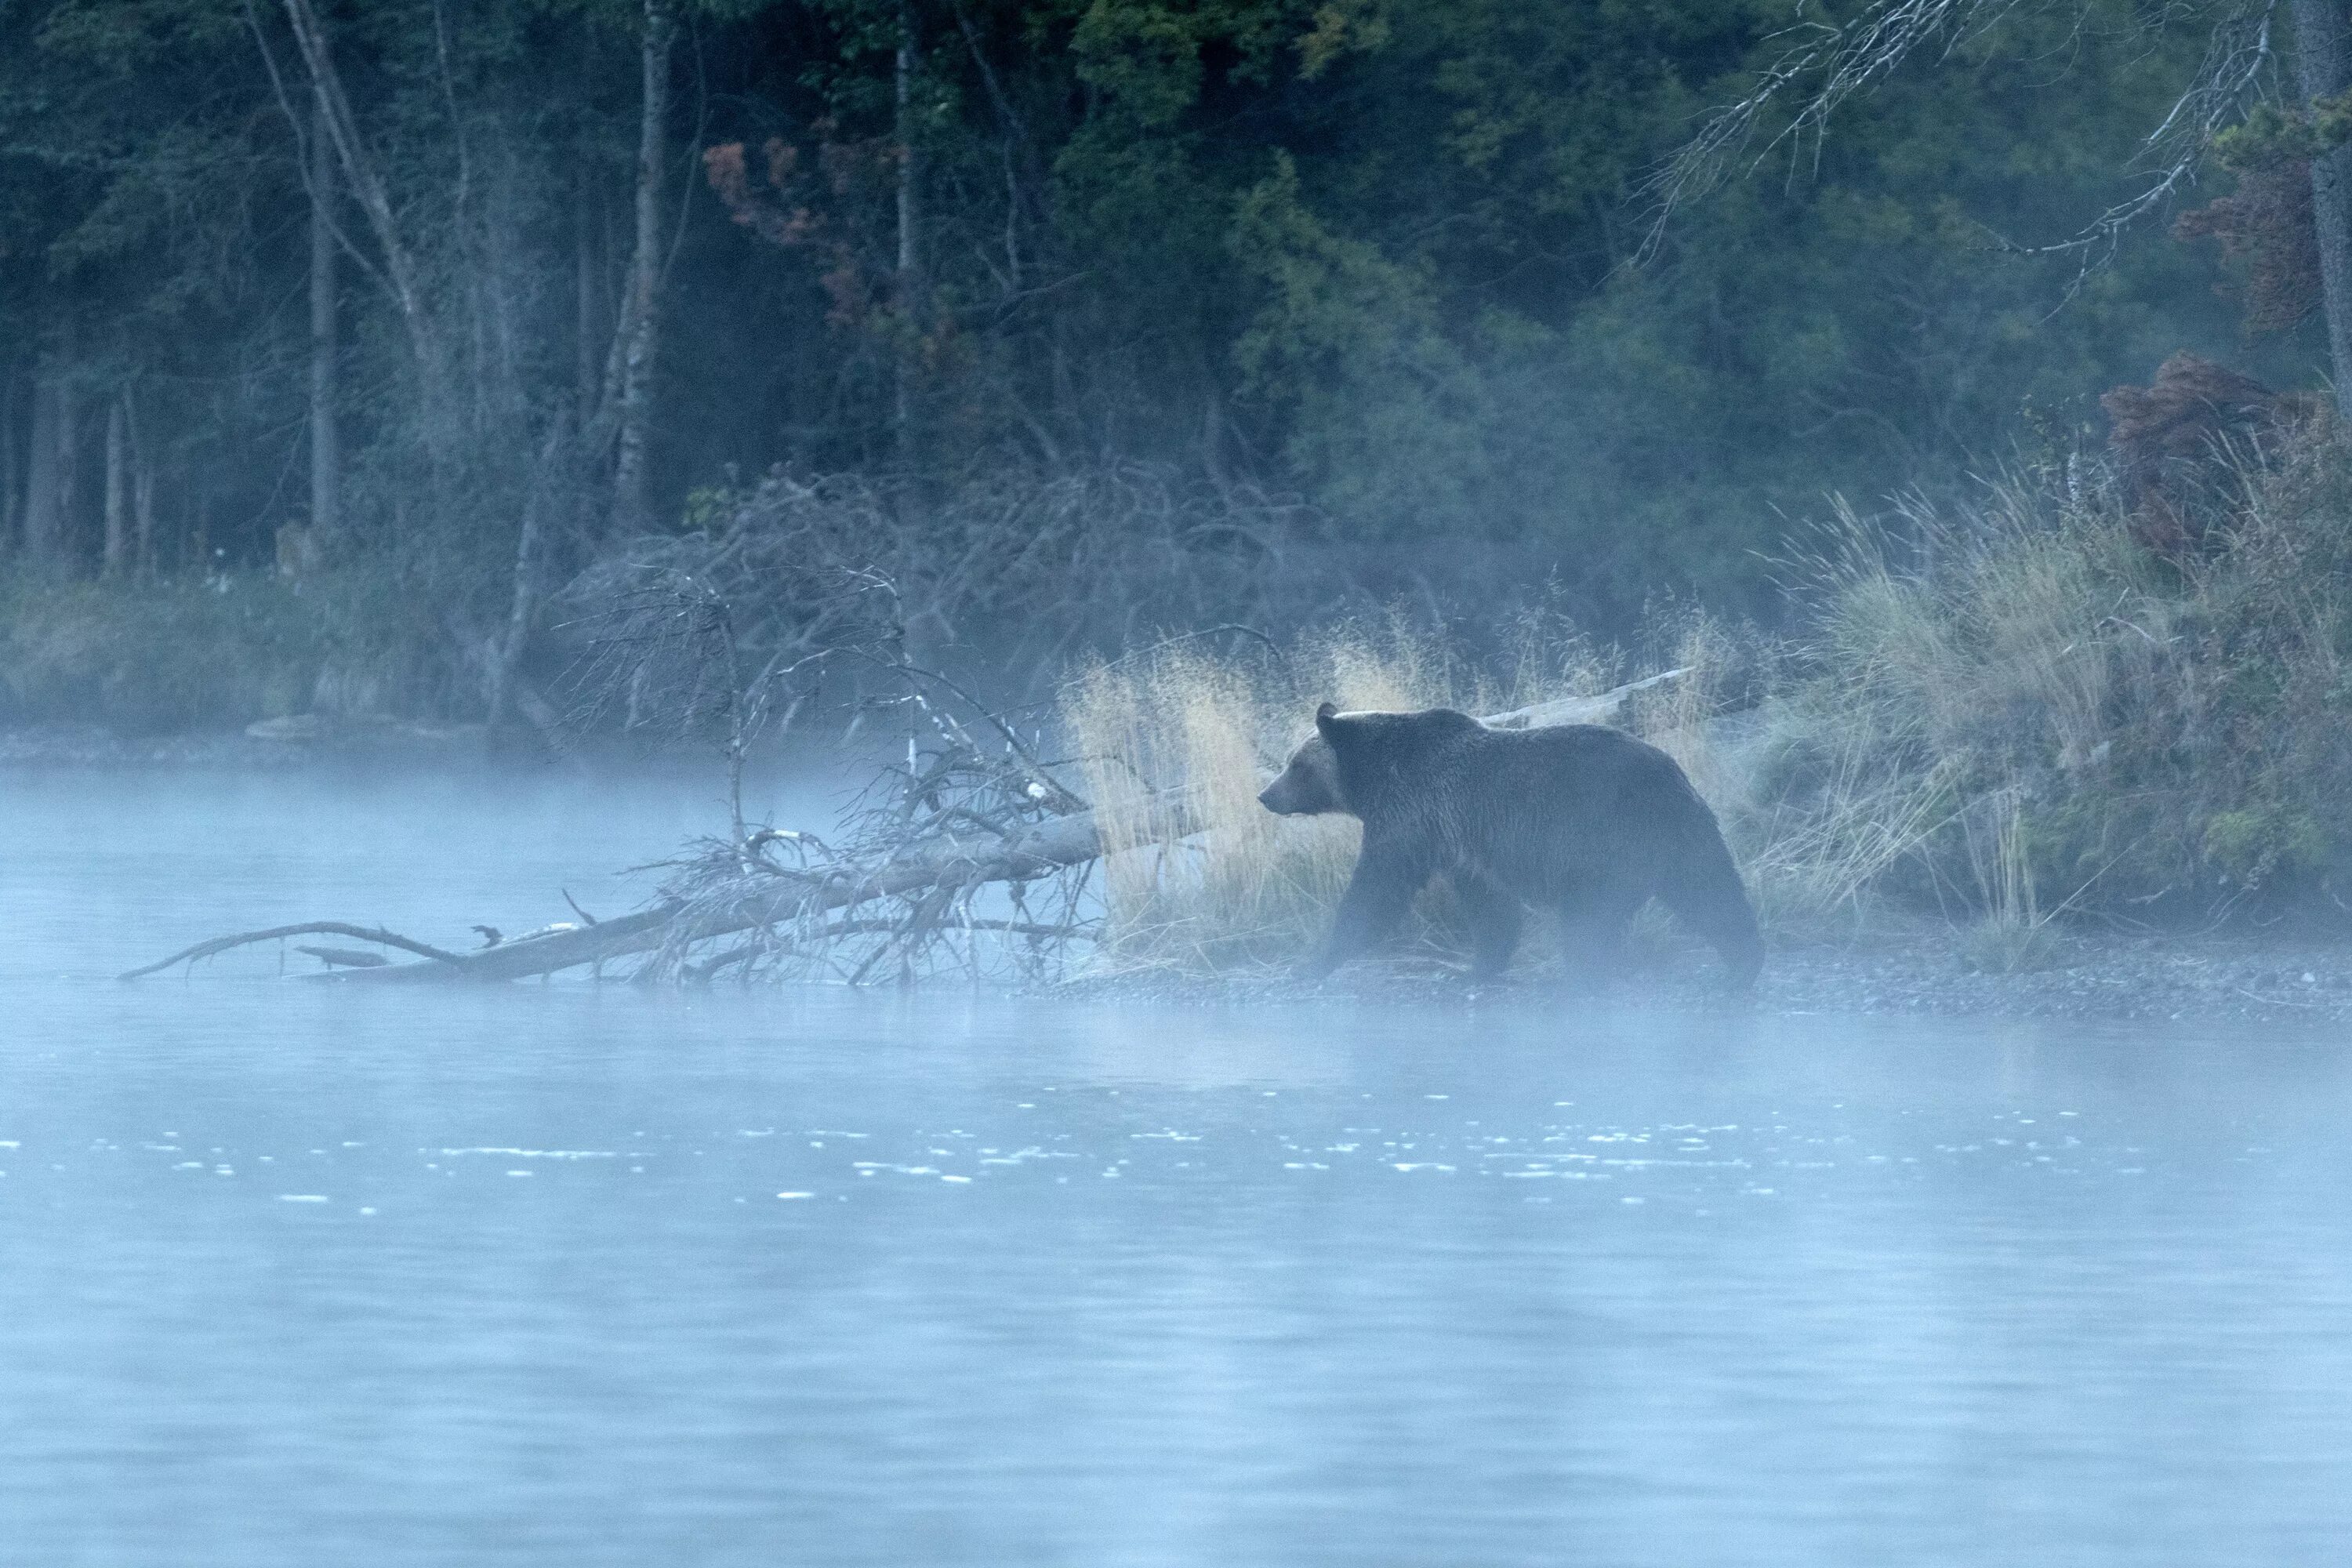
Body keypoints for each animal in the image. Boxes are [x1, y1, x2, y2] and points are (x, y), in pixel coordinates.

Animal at [1261, 710, 1759, 987]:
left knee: (1591, 918)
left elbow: (1376, 889)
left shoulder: (1411, 817)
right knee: (1711, 890)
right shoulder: (1461, 840)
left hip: (1604, 837)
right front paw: (1479, 965)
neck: (1374, 776)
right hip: (1679, 833)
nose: (1266, 795)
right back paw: (1743, 961)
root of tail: (1668, 771)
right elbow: (1489, 905)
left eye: (1295, 764)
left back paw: (1581, 975)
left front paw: (1315, 962)